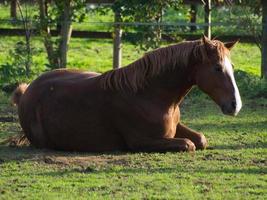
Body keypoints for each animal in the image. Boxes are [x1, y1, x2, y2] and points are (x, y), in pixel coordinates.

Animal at [12, 35, 243, 152]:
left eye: (230, 66)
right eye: (217, 68)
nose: (235, 105)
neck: (148, 95)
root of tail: (26, 92)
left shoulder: (175, 127)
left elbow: (200, 139)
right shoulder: (141, 141)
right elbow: (189, 144)